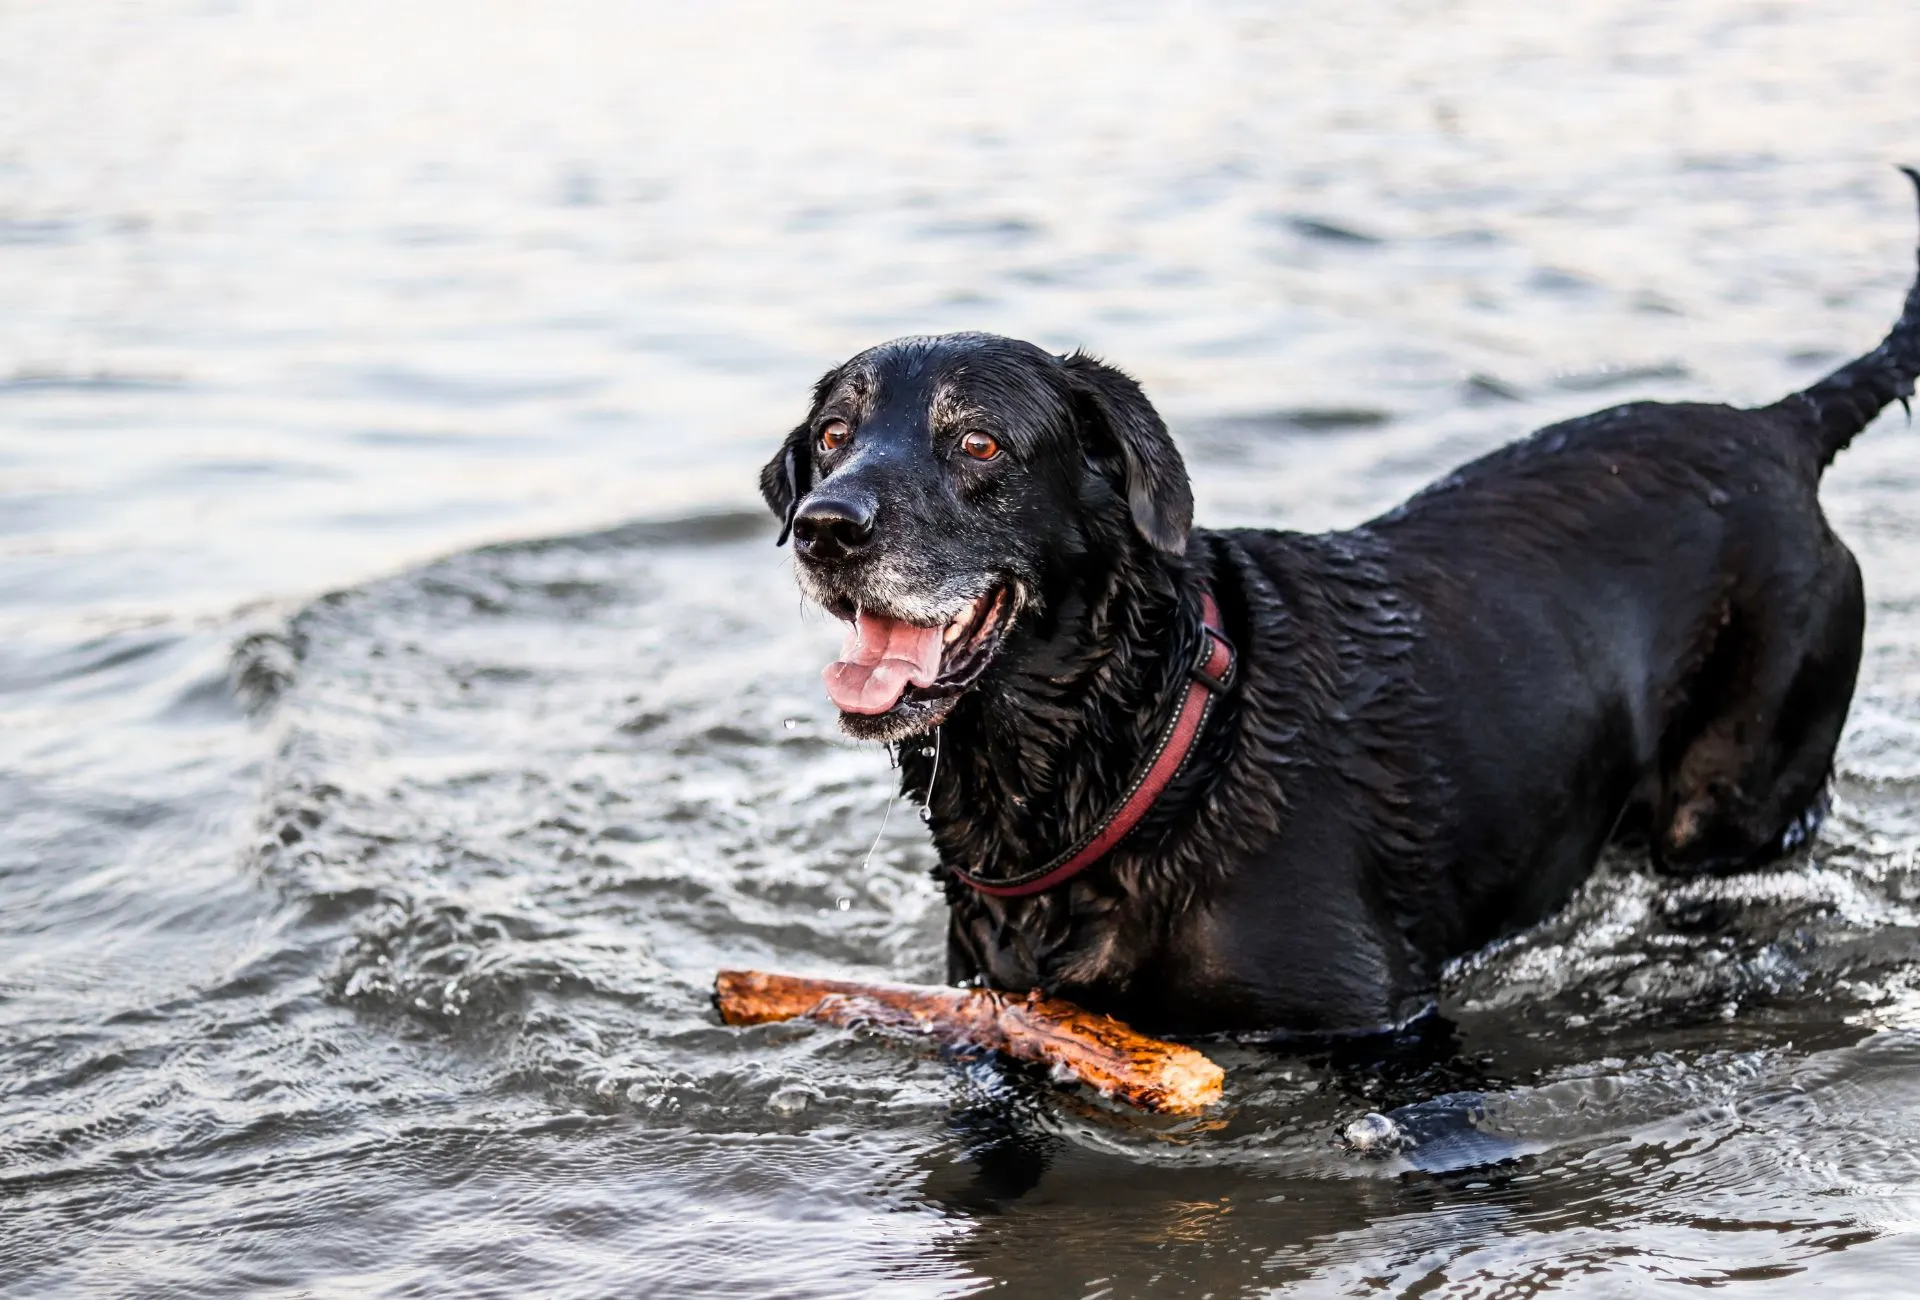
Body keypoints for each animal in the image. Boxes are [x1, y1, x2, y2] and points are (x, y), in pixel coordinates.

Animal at [760, 177, 1920, 1036]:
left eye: (979, 443)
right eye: (832, 436)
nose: (825, 527)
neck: (1146, 744)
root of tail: (1779, 428)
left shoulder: (1383, 1022)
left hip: (1738, 796)